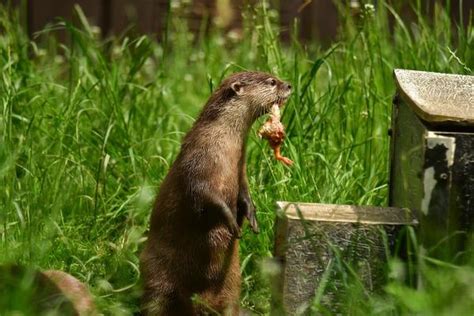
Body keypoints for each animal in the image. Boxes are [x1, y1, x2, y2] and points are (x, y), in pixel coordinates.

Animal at [139, 71, 290, 316]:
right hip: (156, 275)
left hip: (232, 285)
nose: (289, 85)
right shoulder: (198, 165)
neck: (224, 146)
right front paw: (232, 223)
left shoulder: (241, 171)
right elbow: (206, 196)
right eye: (272, 82)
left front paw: (252, 218)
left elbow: (244, 194)